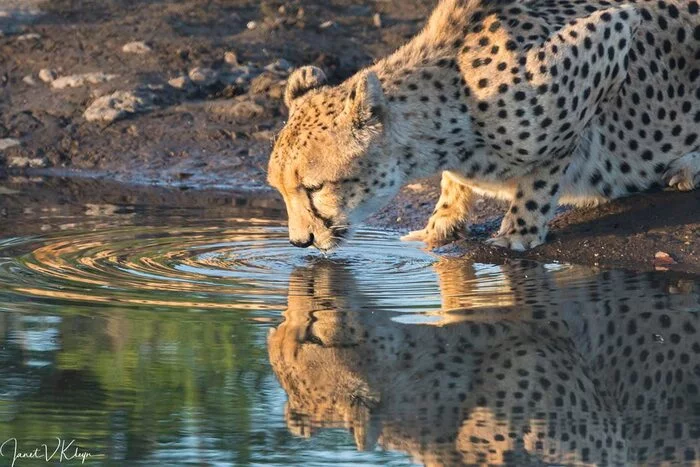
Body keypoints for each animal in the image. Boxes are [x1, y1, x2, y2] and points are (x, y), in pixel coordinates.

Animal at [266, 0, 700, 252]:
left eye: (315, 187)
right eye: (280, 189)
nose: (299, 242)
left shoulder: (616, 27)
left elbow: (546, 170)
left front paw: (517, 232)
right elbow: (452, 184)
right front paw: (439, 224)